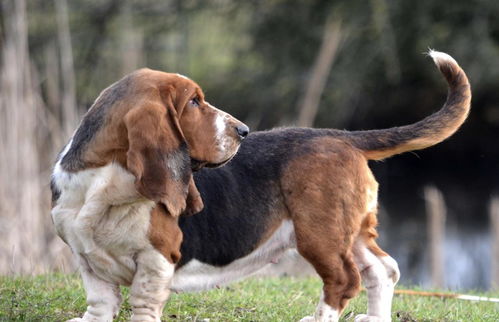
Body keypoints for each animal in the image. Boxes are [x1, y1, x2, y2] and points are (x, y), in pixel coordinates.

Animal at [50, 69, 250, 320]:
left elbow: (144, 296)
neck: (105, 187)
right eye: (194, 101)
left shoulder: (158, 253)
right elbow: (99, 297)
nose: (244, 130)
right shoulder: (83, 252)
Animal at [170, 50, 470, 322]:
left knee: (343, 281)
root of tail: (339, 136)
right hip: (350, 232)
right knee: (383, 268)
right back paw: (375, 317)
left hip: (320, 235)